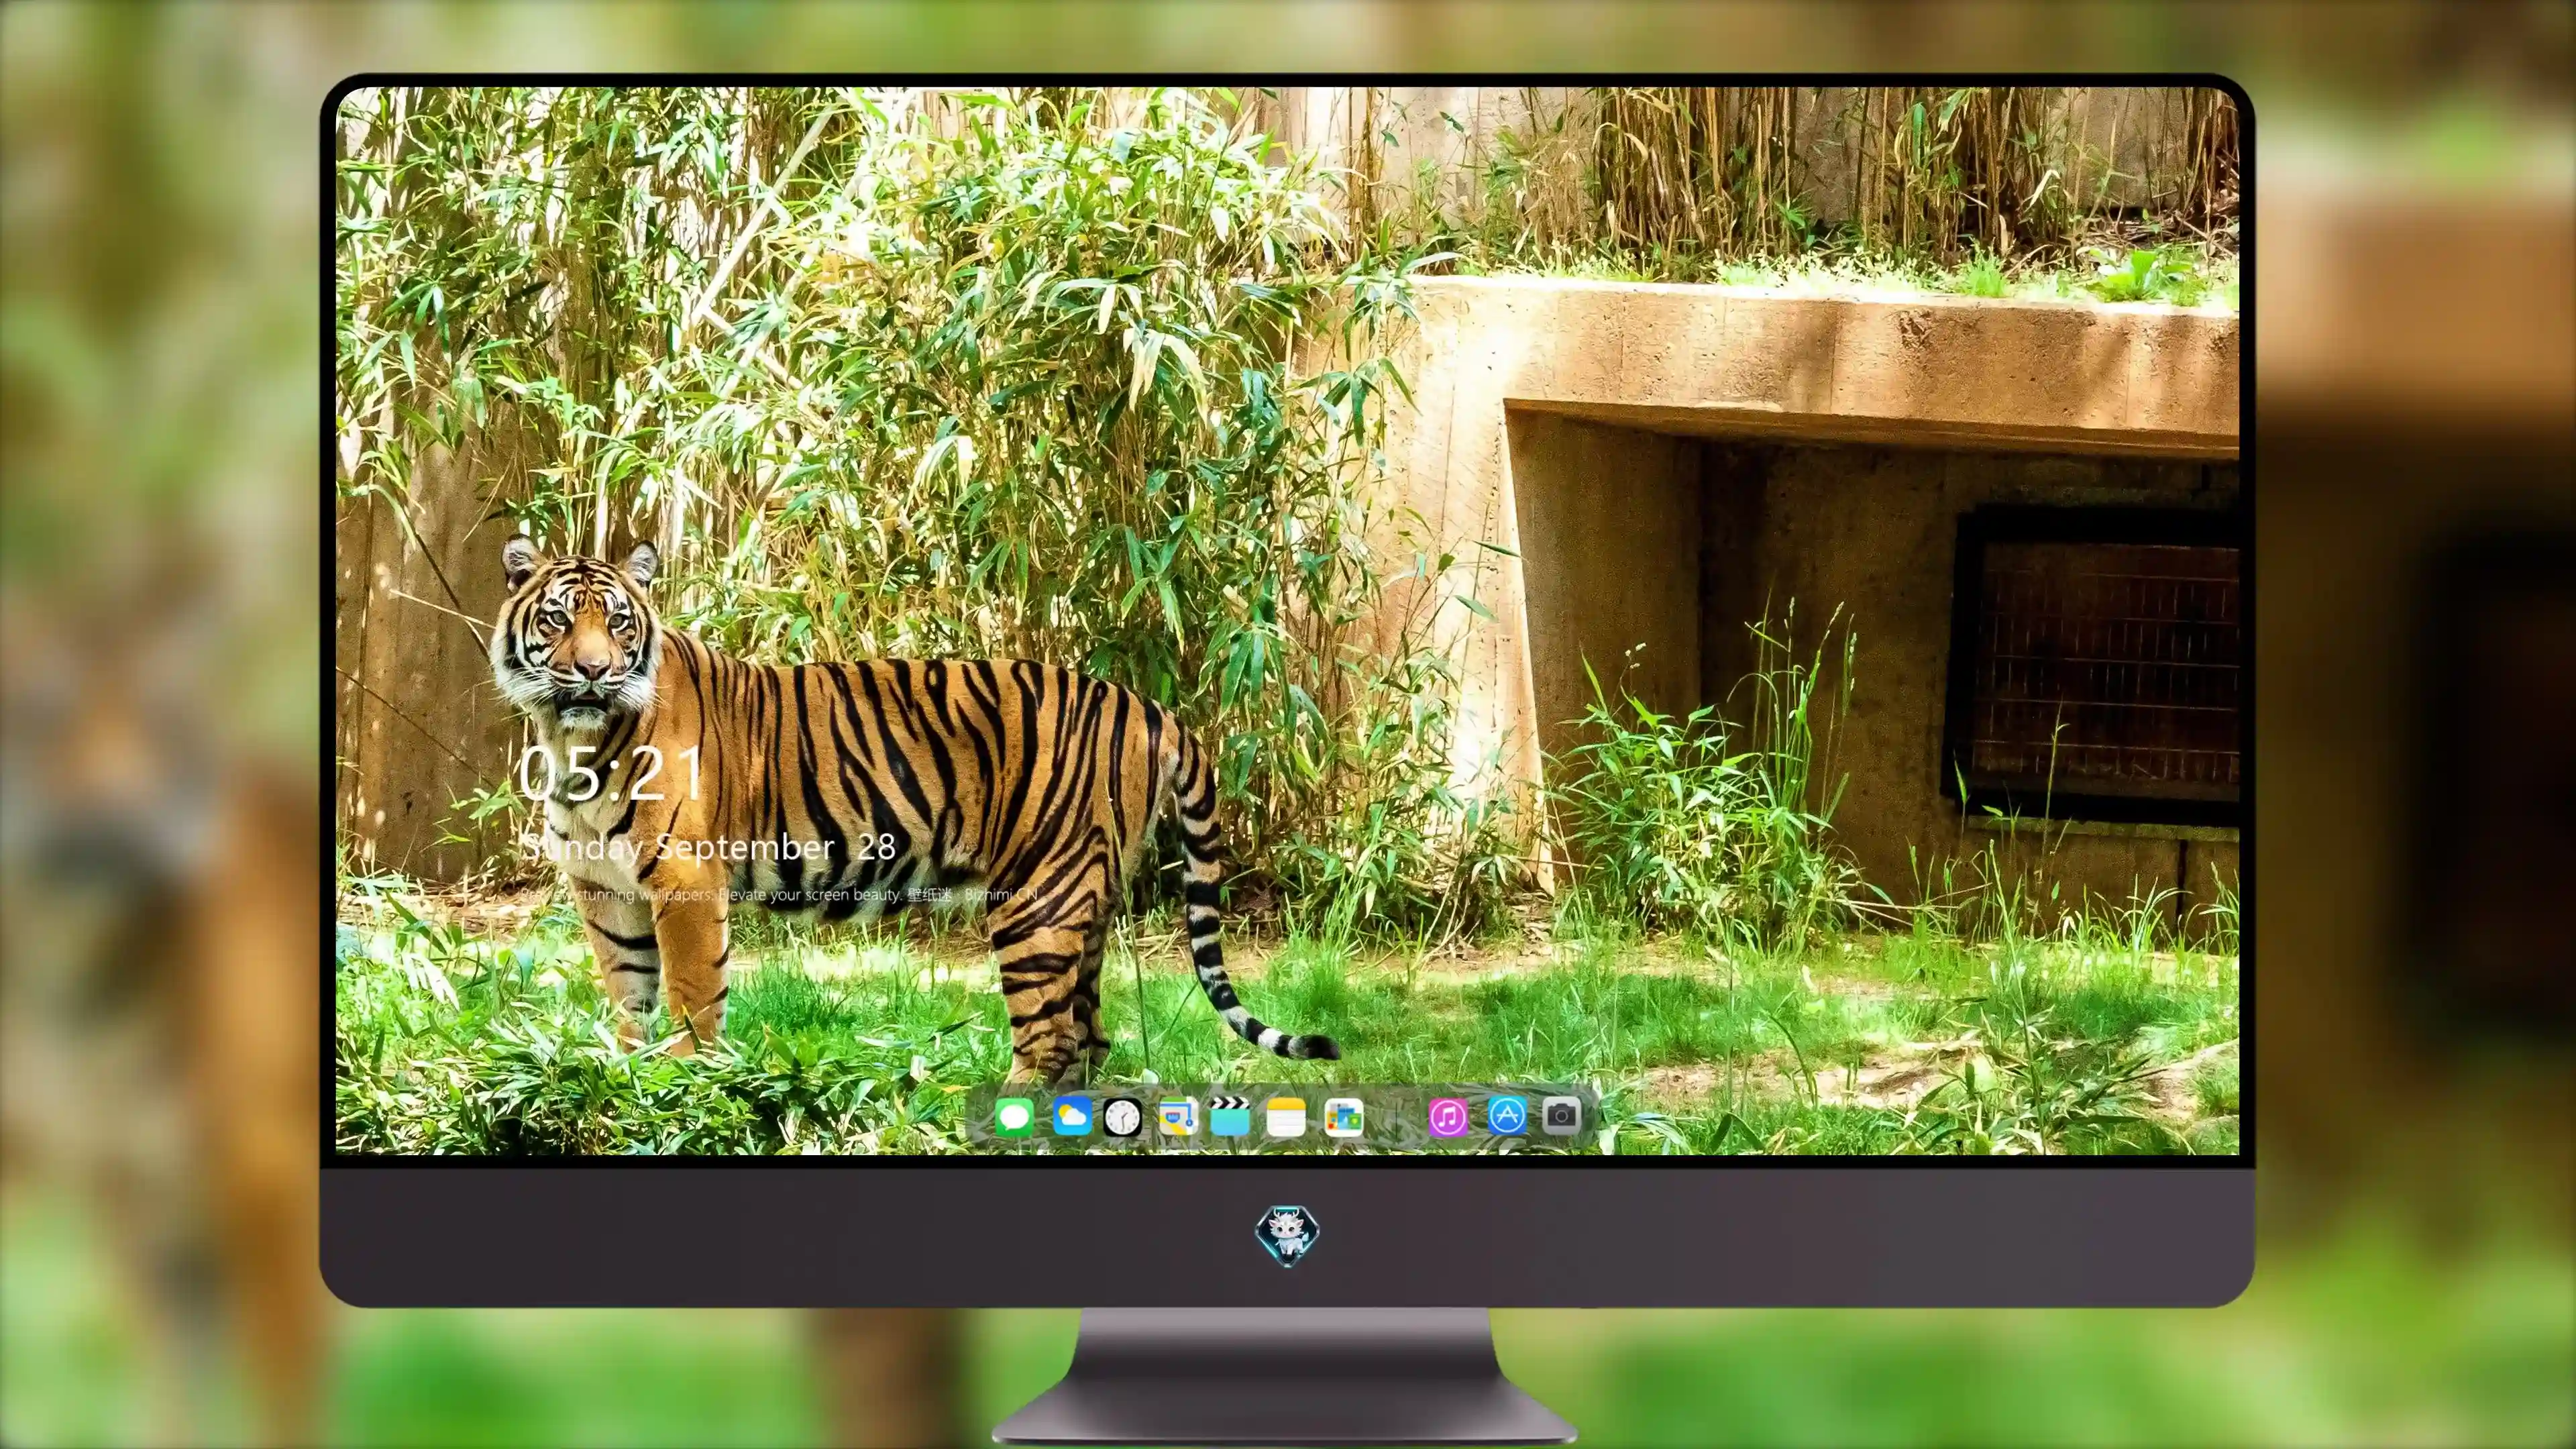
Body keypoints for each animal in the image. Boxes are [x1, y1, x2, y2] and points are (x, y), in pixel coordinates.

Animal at [488, 536, 1340, 1083]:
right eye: (558, 620)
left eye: (619, 623)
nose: (593, 672)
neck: (573, 740)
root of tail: (1148, 706)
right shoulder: (604, 888)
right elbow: (628, 991)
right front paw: (623, 1073)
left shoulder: (684, 881)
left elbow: (694, 992)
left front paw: (689, 1075)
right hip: (1086, 898)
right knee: (1089, 1037)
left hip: (1037, 898)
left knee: (1049, 1040)